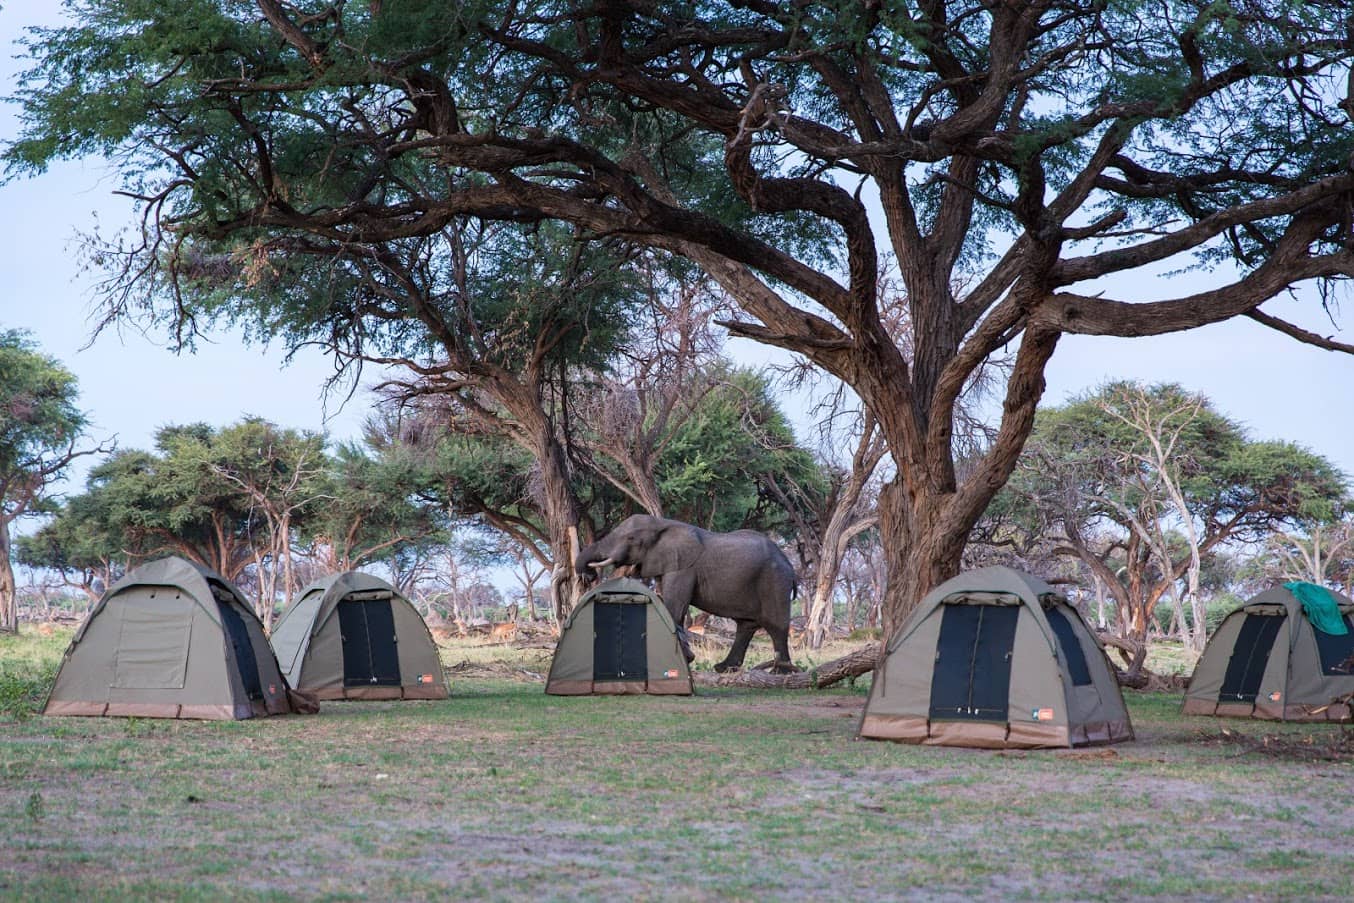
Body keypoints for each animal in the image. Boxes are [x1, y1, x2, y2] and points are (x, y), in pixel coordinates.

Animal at [575, 514, 797, 673]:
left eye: (631, 538)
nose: (588, 576)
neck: (662, 523)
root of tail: (788, 563)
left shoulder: (683, 568)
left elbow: (674, 606)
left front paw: (686, 659)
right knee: (745, 625)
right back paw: (723, 669)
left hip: (775, 580)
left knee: (775, 624)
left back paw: (781, 672)